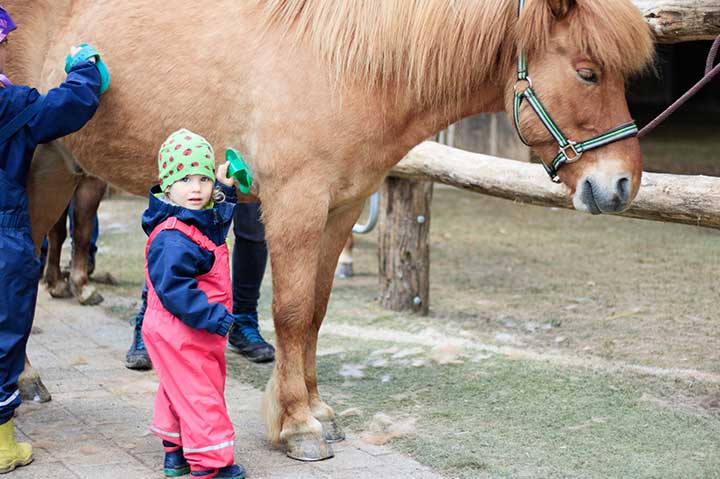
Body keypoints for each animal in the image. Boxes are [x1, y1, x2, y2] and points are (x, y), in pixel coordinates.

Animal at [7, 0, 652, 462]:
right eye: (588, 73)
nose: (620, 186)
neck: (345, 67)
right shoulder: (295, 204)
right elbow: (291, 312)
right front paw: (296, 425)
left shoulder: (341, 209)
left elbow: (315, 313)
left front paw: (319, 412)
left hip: (53, 171)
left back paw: (28, 379)